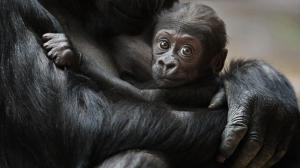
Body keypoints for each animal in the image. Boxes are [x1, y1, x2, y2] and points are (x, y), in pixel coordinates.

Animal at [42, 2, 227, 106]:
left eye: (186, 51)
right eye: (164, 44)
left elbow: (143, 98)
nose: (166, 63)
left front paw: (74, 56)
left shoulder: (198, 89)